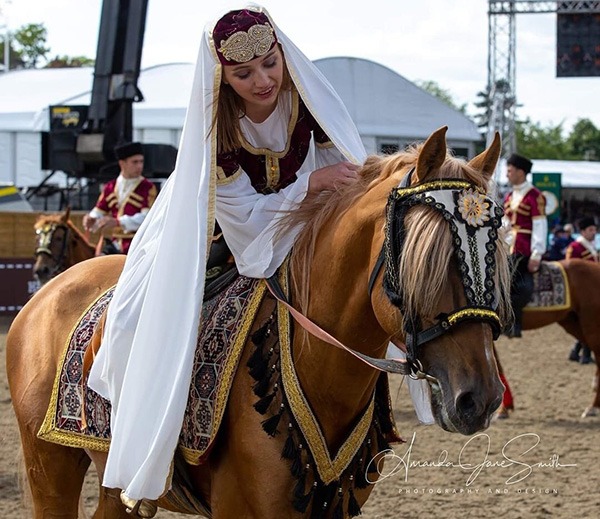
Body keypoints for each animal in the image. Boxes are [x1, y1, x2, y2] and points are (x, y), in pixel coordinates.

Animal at [5, 127, 510, 519]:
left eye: (492, 253)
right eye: (424, 260)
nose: (479, 399)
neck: (317, 363)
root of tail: (45, 294)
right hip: (48, 464)